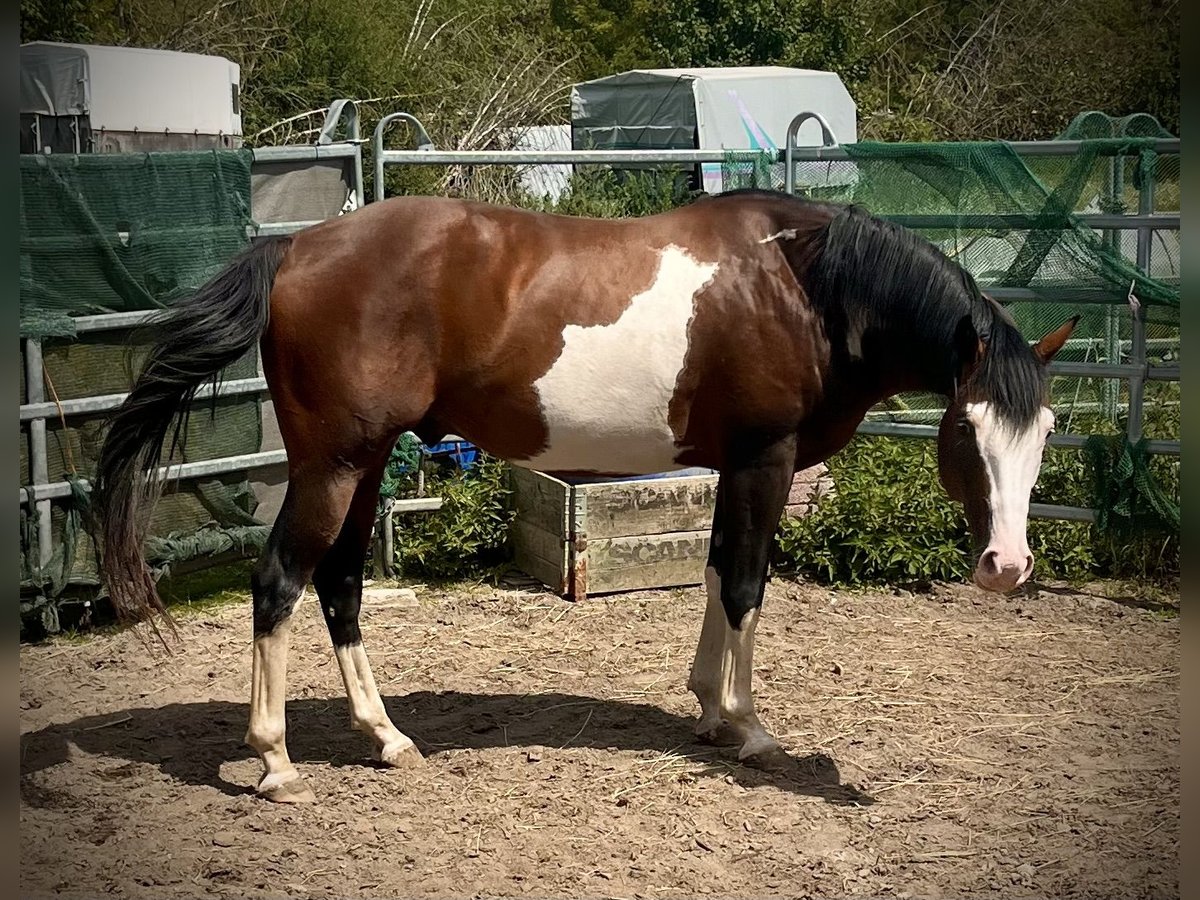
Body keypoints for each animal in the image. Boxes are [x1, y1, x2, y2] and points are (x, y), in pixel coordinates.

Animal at [92, 189, 1077, 803]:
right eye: (967, 433)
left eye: (1045, 431)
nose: (1007, 565)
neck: (800, 285)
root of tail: (297, 246)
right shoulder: (765, 460)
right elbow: (747, 584)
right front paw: (750, 728)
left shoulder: (728, 467)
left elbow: (715, 573)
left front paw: (708, 710)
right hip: (331, 466)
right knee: (279, 586)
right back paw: (276, 761)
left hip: (362, 467)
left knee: (339, 589)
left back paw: (386, 738)